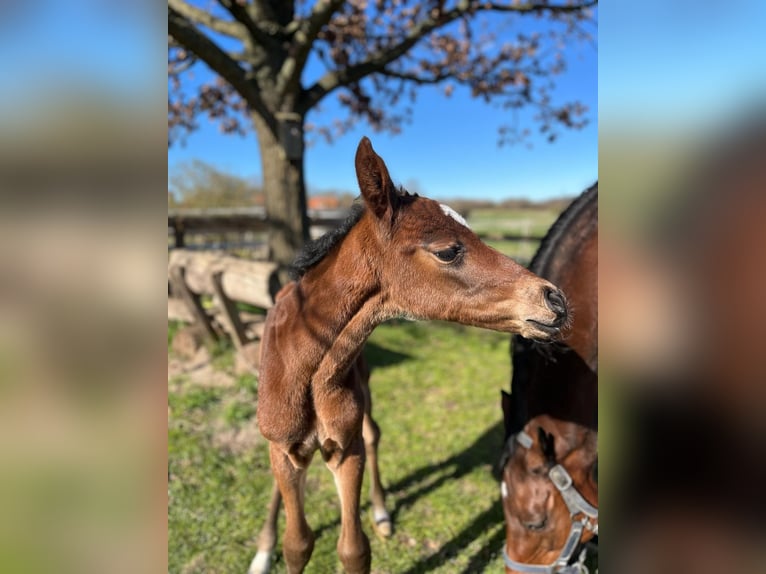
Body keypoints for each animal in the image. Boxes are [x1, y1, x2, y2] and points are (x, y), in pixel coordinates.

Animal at [251, 137, 570, 574]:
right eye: (448, 251)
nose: (554, 300)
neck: (306, 368)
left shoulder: (345, 448)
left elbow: (353, 549)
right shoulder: (284, 449)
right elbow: (296, 542)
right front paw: (269, 546)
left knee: (372, 433)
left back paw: (382, 511)